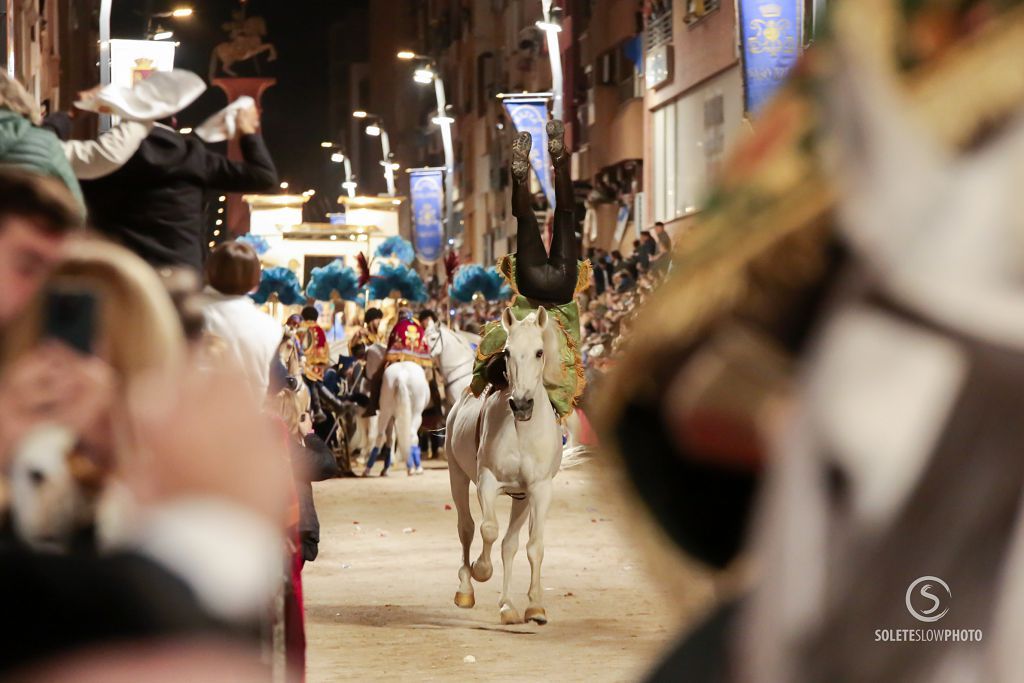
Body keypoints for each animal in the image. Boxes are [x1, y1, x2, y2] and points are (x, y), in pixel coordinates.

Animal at [444, 307, 565, 626]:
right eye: (507, 352)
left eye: (539, 352)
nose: (521, 404)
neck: (522, 432)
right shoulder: (487, 481)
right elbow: (488, 529)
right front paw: (481, 569)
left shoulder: (539, 490)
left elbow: (533, 546)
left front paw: (535, 607)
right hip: (456, 474)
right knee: (466, 527)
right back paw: (466, 588)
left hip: (521, 499)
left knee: (509, 545)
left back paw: (508, 606)